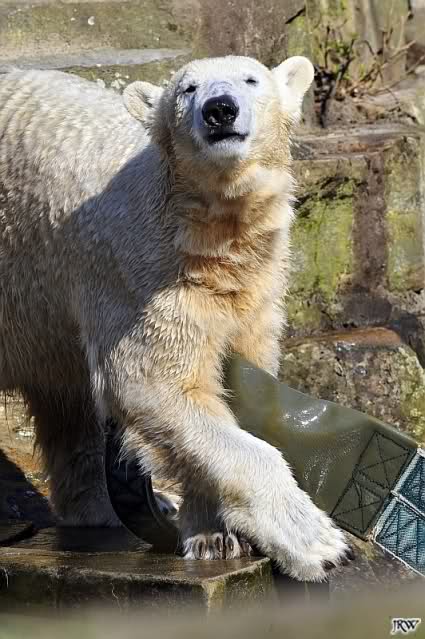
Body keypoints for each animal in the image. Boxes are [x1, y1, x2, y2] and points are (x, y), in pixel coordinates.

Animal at [0, 55, 352, 581]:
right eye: (187, 88)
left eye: (251, 79)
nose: (220, 109)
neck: (209, 233)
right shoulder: (147, 276)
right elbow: (158, 384)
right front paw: (318, 543)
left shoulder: (255, 286)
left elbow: (236, 385)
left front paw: (212, 535)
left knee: (66, 403)